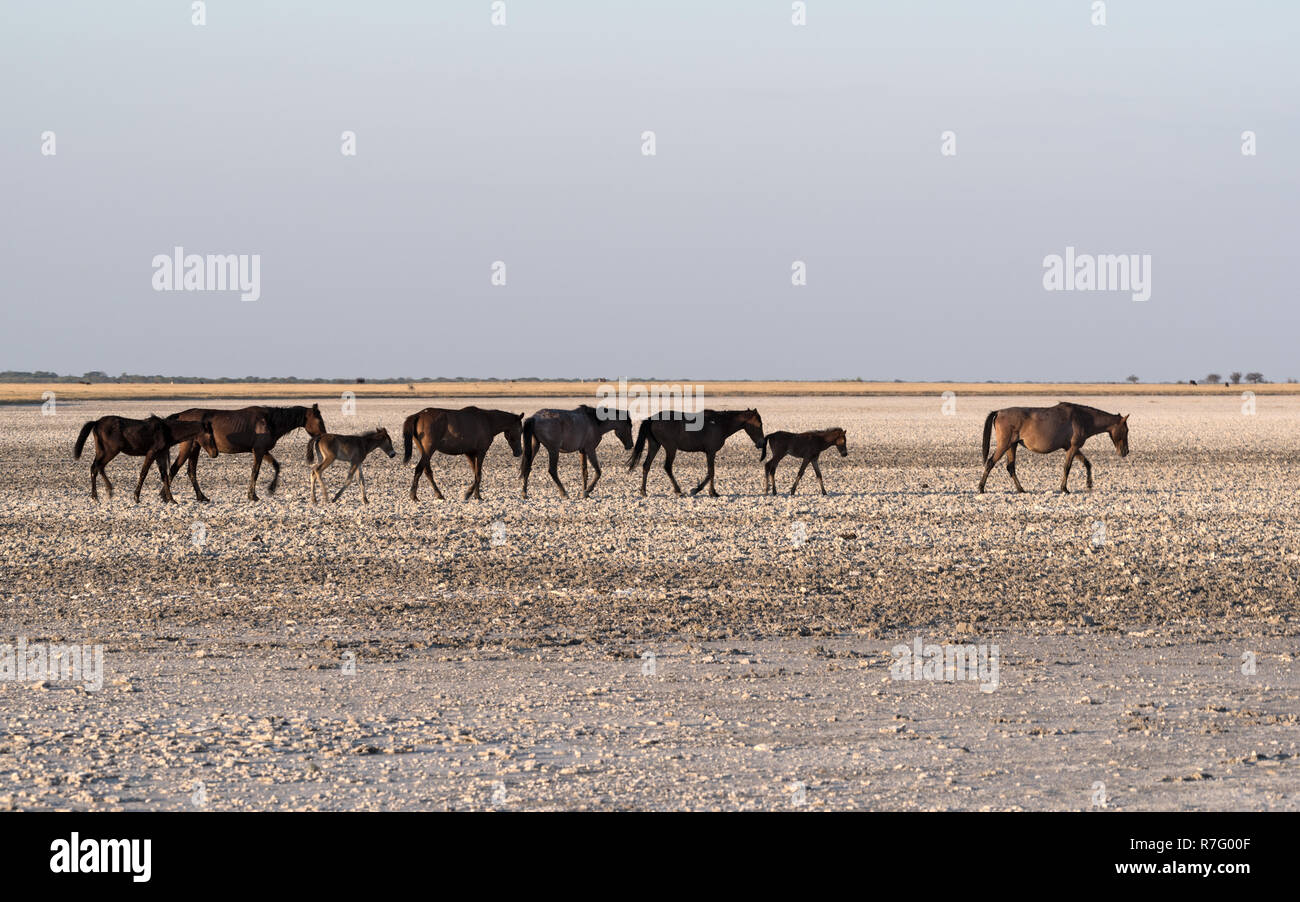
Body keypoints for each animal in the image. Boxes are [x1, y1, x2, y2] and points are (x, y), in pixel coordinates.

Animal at [74, 414, 217, 503]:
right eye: (210, 435)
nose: (215, 453)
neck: (167, 430)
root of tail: (96, 422)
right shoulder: (151, 453)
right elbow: (144, 473)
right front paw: (136, 497)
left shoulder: (160, 455)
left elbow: (165, 476)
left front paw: (171, 499)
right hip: (110, 451)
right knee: (96, 467)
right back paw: (99, 494)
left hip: (102, 451)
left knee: (97, 467)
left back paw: (104, 492)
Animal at [168, 404, 327, 501]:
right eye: (319, 421)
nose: (325, 436)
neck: (269, 421)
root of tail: (181, 415)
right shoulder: (259, 451)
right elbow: (255, 472)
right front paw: (252, 495)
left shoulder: (263, 451)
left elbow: (276, 466)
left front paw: (271, 489)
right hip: (188, 447)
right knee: (174, 469)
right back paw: (169, 497)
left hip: (195, 448)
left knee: (191, 471)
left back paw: (201, 497)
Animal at [626, 409, 764, 497]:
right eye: (759, 424)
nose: (761, 443)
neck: (719, 423)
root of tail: (652, 419)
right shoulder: (711, 452)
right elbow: (711, 472)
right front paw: (703, 491)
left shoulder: (710, 453)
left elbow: (711, 472)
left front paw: (709, 491)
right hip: (670, 448)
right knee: (667, 467)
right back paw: (678, 491)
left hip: (655, 445)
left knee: (646, 466)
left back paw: (643, 491)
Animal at [978, 402, 1129, 494]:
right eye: (1126, 430)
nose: (1125, 452)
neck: (1082, 418)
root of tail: (999, 412)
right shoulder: (1073, 447)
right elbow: (1067, 467)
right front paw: (1064, 488)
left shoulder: (1071, 447)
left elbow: (1087, 463)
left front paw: (1089, 484)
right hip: (1004, 445)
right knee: (991, 462)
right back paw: (981, 488)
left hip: (1011, 445)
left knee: (1010, 467)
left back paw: (1021, 489)